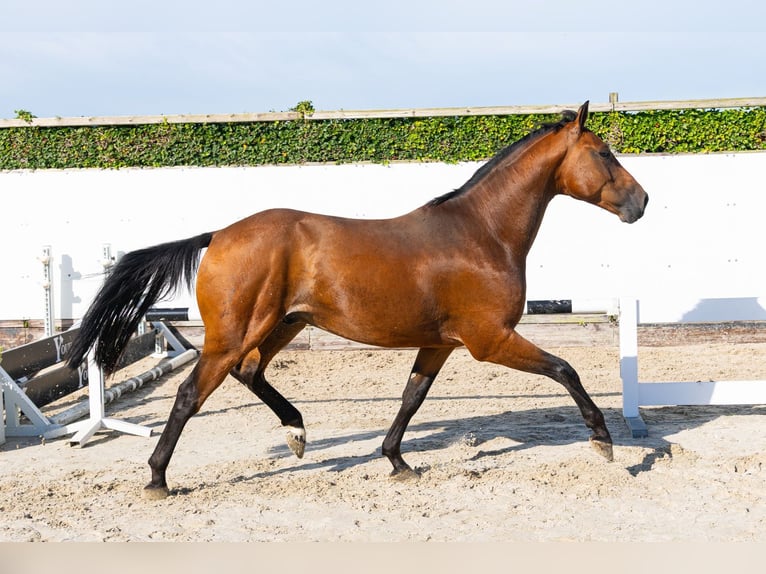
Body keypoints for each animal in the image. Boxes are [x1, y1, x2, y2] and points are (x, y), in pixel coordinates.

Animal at [67, 101, 648, 499]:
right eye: (603, 153)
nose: (642, 202)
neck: (482, 233)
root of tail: (219, 235)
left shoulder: (441, 343)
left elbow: (412, 398)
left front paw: (396, 462)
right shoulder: (490, 339)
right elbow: (565, 369)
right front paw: (603, 440)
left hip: (284, 324)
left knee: (249, 371)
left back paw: (297, 433)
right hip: (235, 333)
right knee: (192, 393)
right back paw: (158, 478)